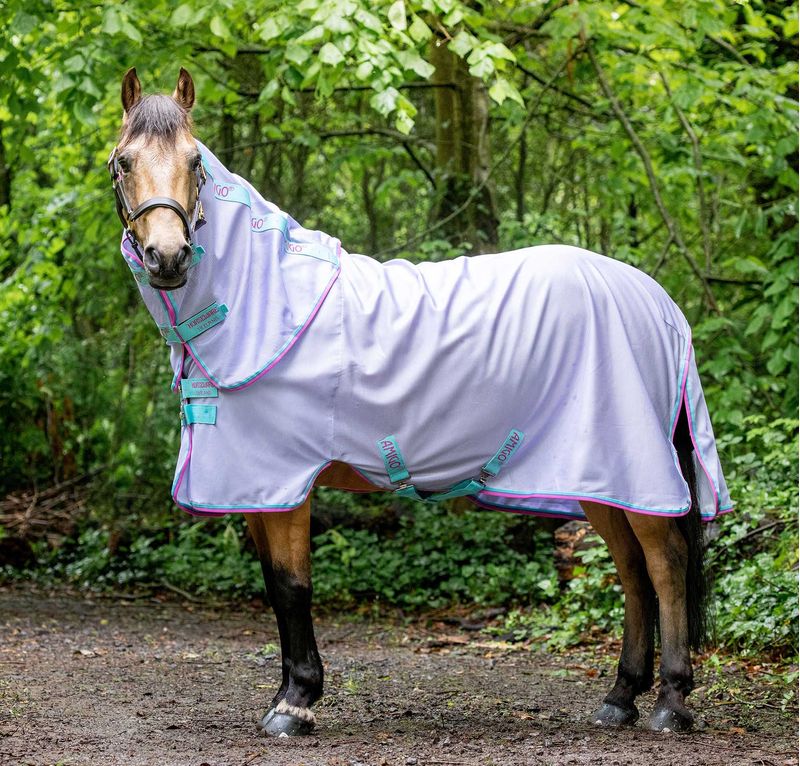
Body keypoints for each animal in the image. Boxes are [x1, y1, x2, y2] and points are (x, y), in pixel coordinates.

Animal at [108, 67, 731, 738]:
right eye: (124, 161)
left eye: (195, 162)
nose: (168, 257)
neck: (269, 299)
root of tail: (657, 301)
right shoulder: (254, 488)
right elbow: (276, 587)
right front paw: (290, 693)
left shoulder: (285, 482)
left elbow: (294, 587)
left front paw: (295, 702)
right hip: (600, 477)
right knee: (633, 573)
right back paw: (620, 696)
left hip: (636, 470)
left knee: (665, 564)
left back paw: (671, 702)